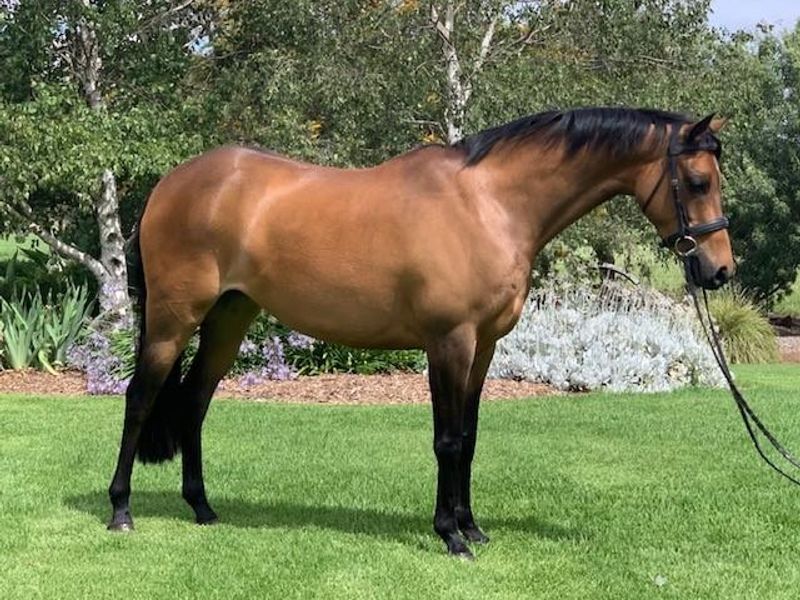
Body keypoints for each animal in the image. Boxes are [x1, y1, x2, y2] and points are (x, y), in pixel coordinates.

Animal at [108, 107, 733, 559]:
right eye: (698, 180)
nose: (720, 271)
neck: (488, 205)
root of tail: (172, 183)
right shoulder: (449, 342)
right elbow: (447, 440)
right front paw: (450, 535)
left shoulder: (484, 346)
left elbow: (470, 438)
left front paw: (472, 527)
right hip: (173, 318)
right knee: (140, 398)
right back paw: (121, 512)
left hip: (229, 318)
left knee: (193, 402)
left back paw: (203, 509)